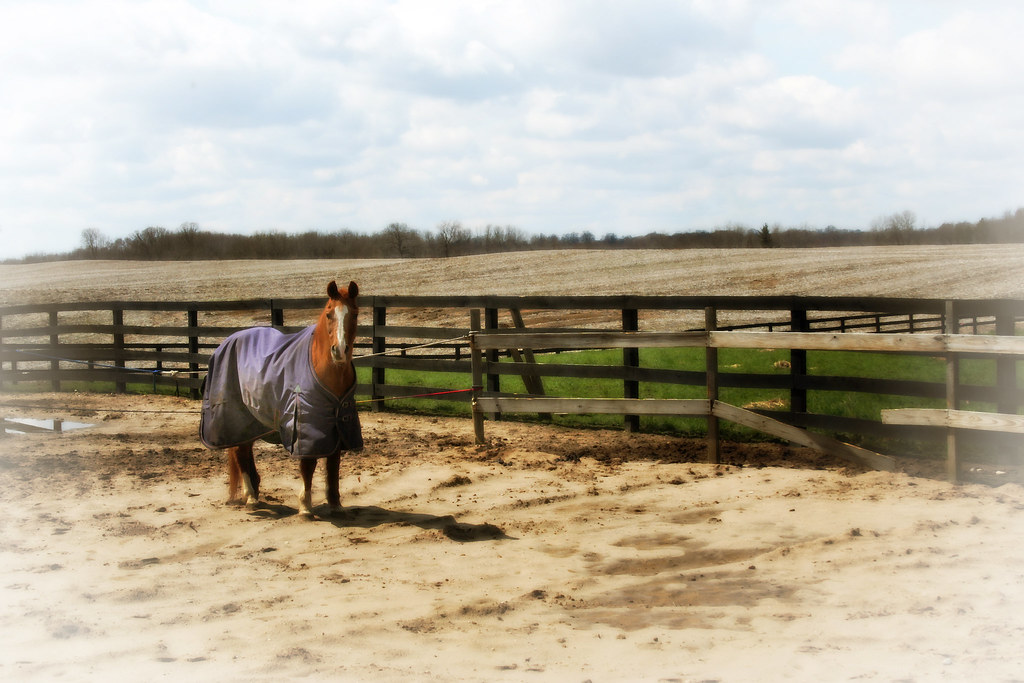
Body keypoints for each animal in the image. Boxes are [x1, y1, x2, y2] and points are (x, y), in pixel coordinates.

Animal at [200, 280, 362, 516]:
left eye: (355, 313)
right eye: (329, 313)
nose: (339, 350)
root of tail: (227, 341)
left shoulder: (337, 424)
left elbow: (333, 463)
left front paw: (335, 505)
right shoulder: (306, 423)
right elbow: (308, 465)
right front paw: (305, 507)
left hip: (253, 421)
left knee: (246, 450)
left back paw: (254, 491)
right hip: (235, 418)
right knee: (240, 452)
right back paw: (251, 498)